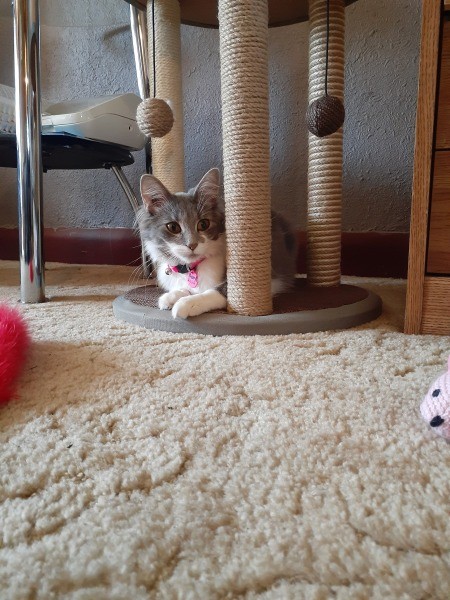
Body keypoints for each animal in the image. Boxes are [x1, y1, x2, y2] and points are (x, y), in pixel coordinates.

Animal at [139, 169, 298, 318]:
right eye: (173, 227)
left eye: (203, 224)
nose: (192, 245)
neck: (192, 268)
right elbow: (183, 288)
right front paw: (170, 297)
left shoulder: (269, 279)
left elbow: (214, 291)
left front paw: (187, 303)